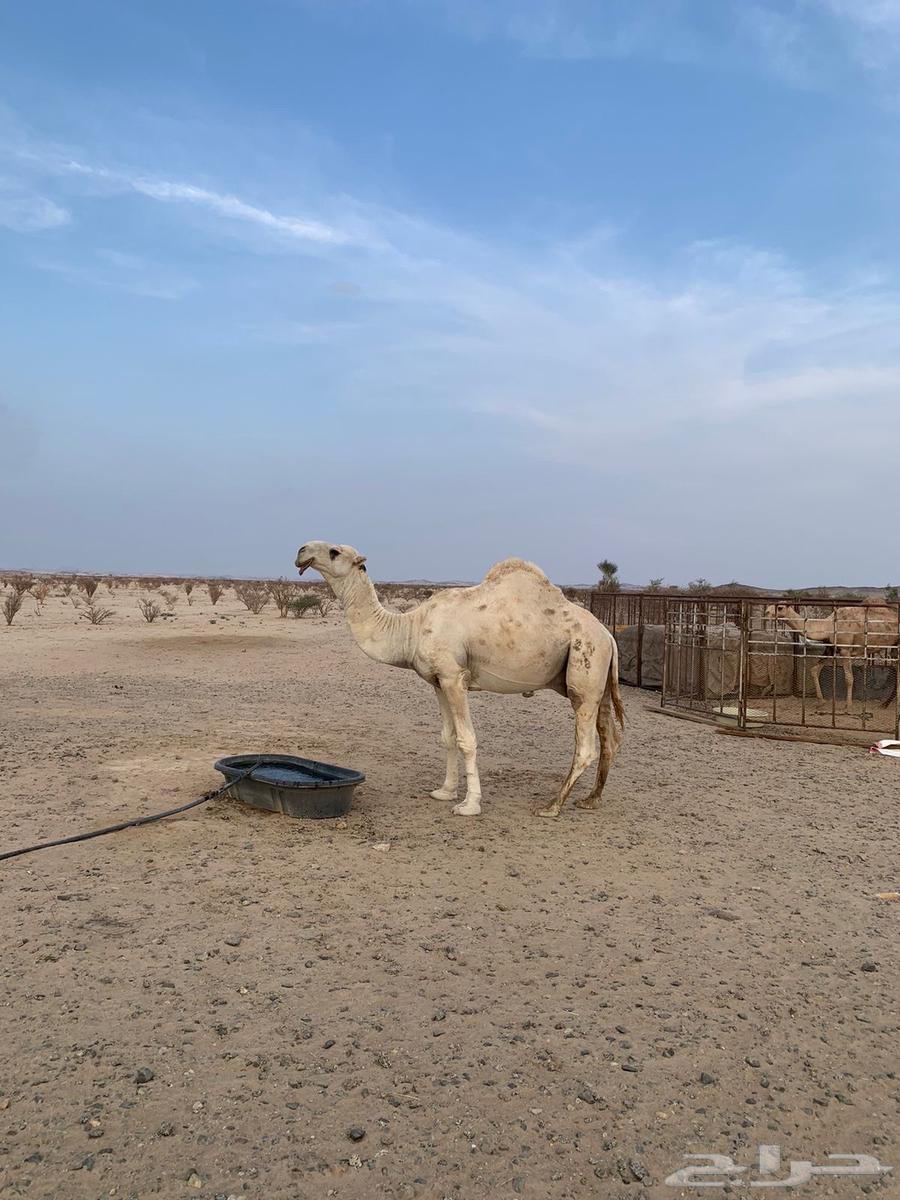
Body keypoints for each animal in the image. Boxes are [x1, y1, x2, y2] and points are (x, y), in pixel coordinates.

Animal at [295, 542, 624, 817]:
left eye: (334, 551)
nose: (301, 551)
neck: (411, 627)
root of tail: (607, 634)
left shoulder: (454, 677)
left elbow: (467, 739)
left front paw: (469, 804)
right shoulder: (437, 681)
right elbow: (448, 736)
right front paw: (445, 791)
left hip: (584, 670)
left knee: (585, 747)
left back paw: (552, 805)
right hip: (597, 682)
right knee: (610, 737)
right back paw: (591, 799)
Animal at [765, 603, 899, 713]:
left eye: (780, 607)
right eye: (769, 606)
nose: (766, 613)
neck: (828, 626)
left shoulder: (845, 649)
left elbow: (849, 678)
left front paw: (848, 706)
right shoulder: (831, 649)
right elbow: (814, 670)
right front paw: (821, 702)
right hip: (894, 647)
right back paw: (885, 704)